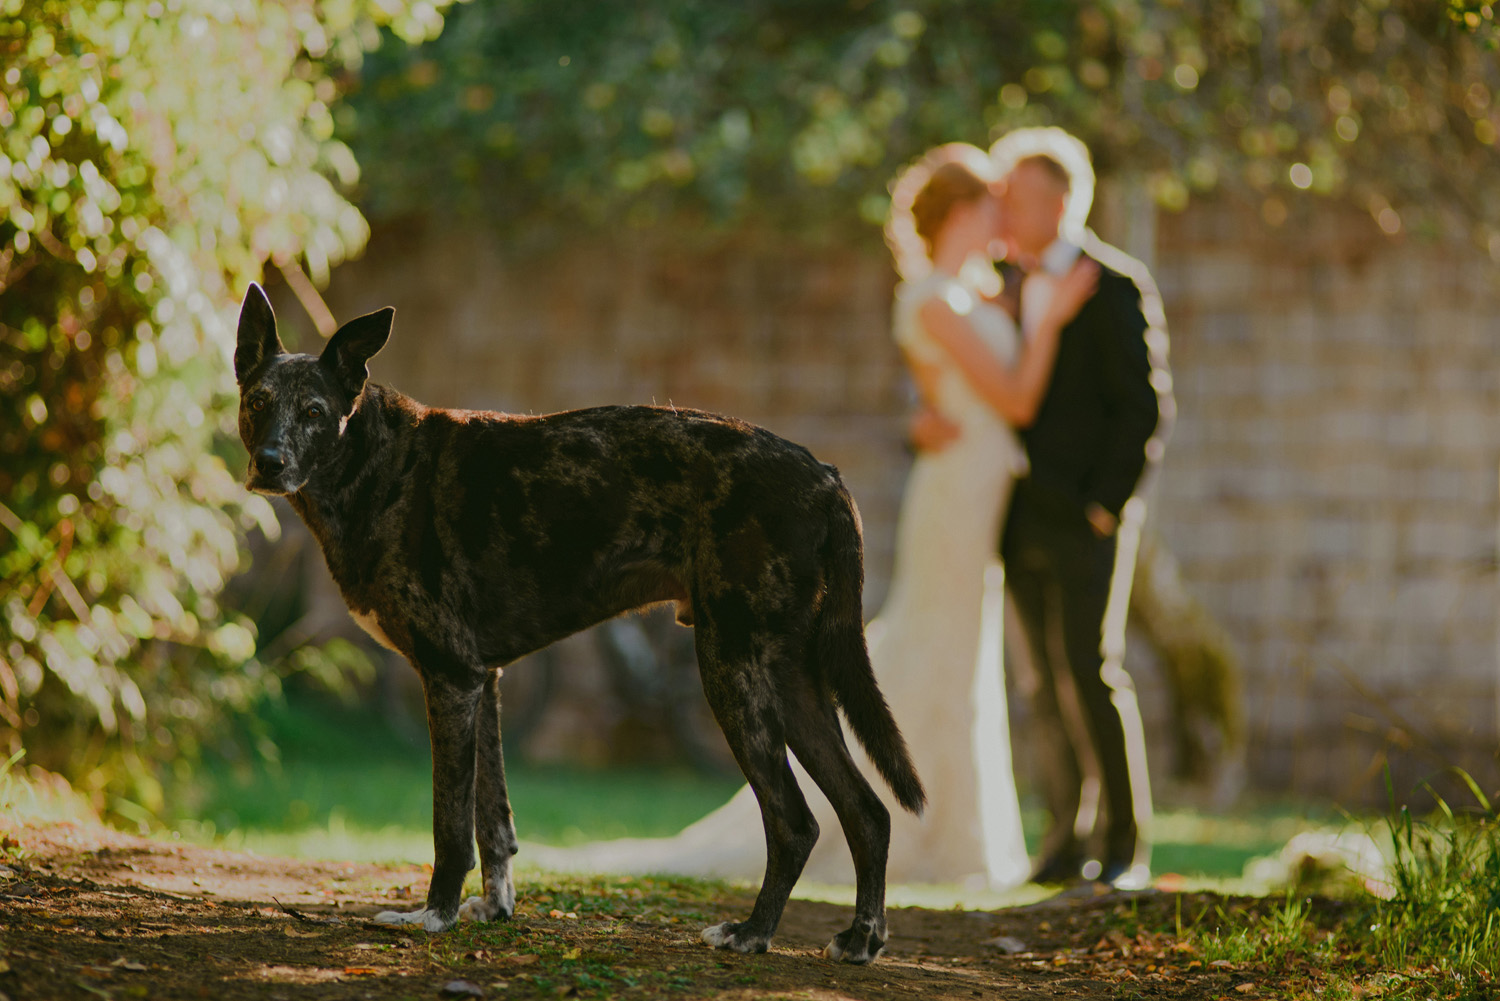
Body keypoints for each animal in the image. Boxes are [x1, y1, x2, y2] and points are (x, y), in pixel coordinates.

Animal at [231, 282, 924, 960]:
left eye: (314, 412)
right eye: (258, 401)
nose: (268, 462)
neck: (377, 462)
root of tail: (826, 477)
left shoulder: (450, 678)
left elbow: (449, 823)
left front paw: (434, 917)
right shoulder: (483, 682)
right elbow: (495, 821)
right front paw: (495, 911)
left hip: (734, 671)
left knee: (795, 821)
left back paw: (753, 934)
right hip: (793, 681)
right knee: (868, 813)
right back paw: (861, 938)